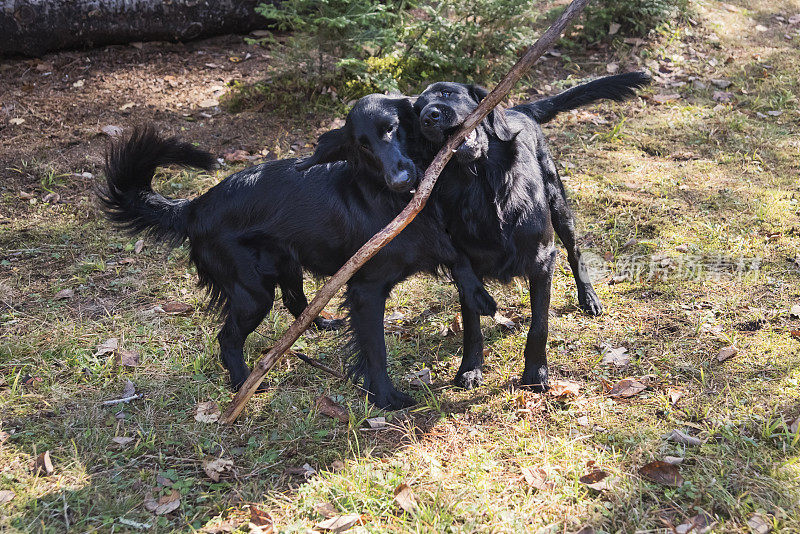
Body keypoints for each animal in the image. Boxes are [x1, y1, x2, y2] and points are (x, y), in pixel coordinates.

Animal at [98, 93, 500, 410]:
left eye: (392, 128)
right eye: (362, 144)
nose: (400, 179)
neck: (394, 198)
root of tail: (195, 206)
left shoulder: (432, 234)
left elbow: (456, 253)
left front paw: (478, 294)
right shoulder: (366, 287)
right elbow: (375, 348)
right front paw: (386, 398)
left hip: (285, 266)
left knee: (297, 303)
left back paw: (322, 324)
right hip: (253, 292)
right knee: (229, 338)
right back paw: (243, 384)